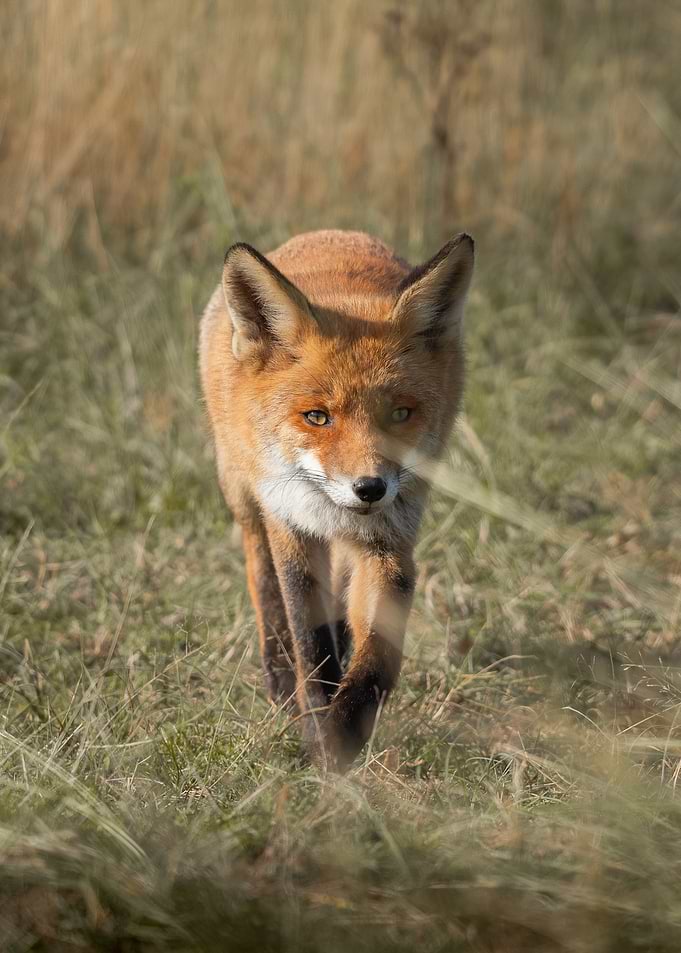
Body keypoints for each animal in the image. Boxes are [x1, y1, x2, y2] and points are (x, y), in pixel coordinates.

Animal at [199, 229, 474, 769]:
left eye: (400, 413)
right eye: (317, 417)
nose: (369, 488)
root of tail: (326, 234)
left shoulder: (390, 541)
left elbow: (377, 658)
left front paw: (343, 732)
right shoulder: (292, 528)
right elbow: (310, 641)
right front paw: (315, 724)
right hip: (242, 494)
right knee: (263, 582)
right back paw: (279, 677)